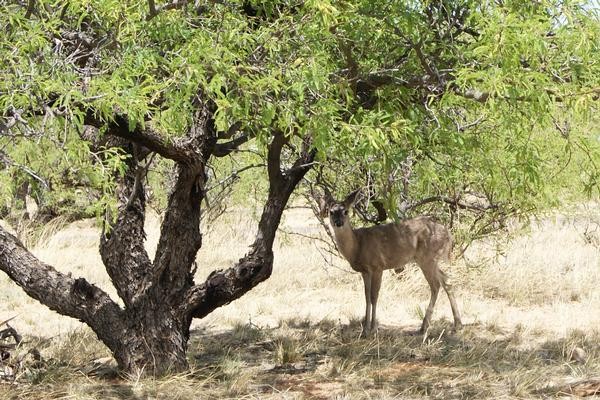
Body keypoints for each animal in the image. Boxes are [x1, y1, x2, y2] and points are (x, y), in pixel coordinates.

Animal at [322, 189, 462, 336]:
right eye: (331, 211)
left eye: (346, 211)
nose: (338, 222)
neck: (357, 246)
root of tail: (448, 235)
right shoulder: (365, 271)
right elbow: (366, 297)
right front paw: (365, 330)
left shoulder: (377, 266)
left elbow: (374, 296)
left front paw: (373, 328)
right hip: (430, 260)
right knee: (446, 280)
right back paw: (457, 324)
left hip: (427, 258)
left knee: (435, 285)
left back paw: (424, 327)